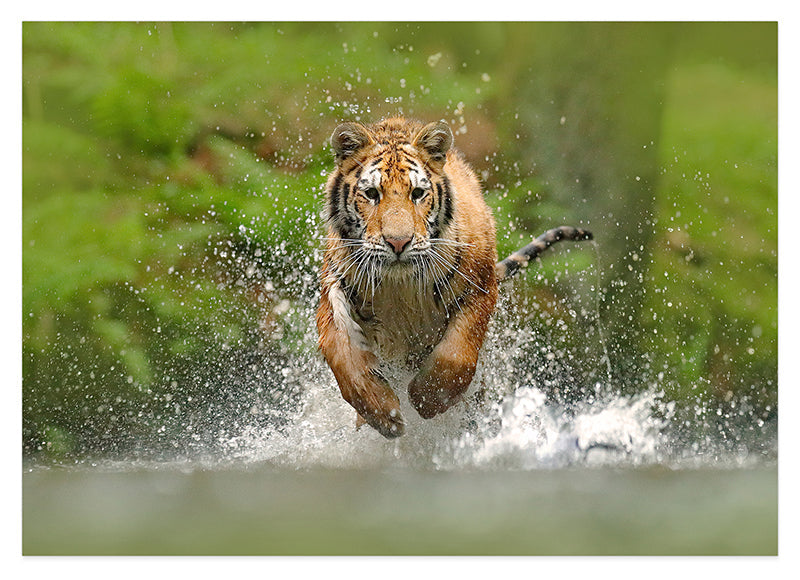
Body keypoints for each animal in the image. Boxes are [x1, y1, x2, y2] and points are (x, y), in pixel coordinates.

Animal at [316, 117, 592, 438]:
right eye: (372, 194)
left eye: (417, 194)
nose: (398, 242)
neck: (399, 285)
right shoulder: (334, 288)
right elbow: (341, 353)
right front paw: (383, 413)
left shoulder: (480, 288)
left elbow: (457, 353)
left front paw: (426, 399)